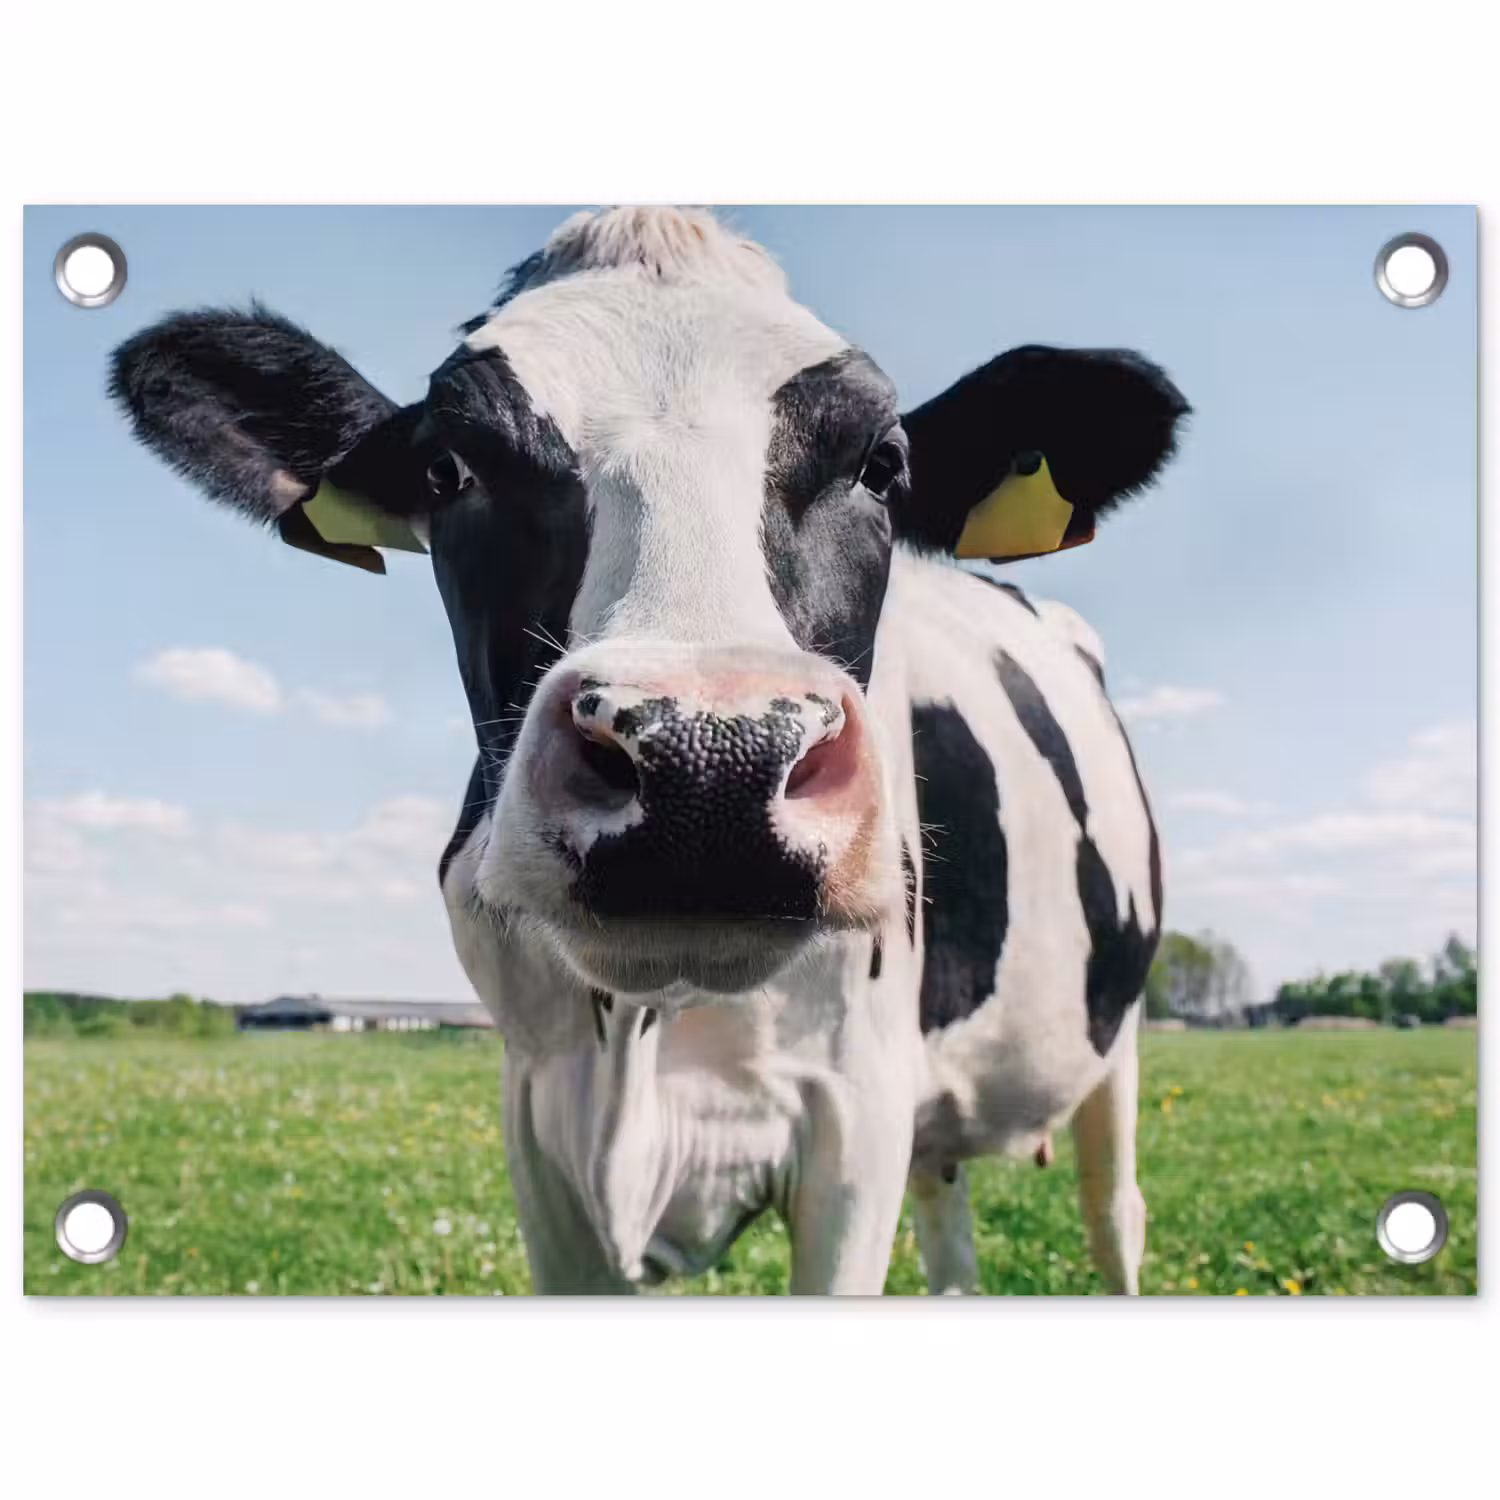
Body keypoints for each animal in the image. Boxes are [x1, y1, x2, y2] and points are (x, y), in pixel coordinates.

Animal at [109, 206, 1188, 1294]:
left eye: (882, 464)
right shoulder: (539, 1119)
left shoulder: (859, 1113)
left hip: (1116, 1044)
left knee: (1117, 1215)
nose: (711, 764)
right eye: (447, 468)